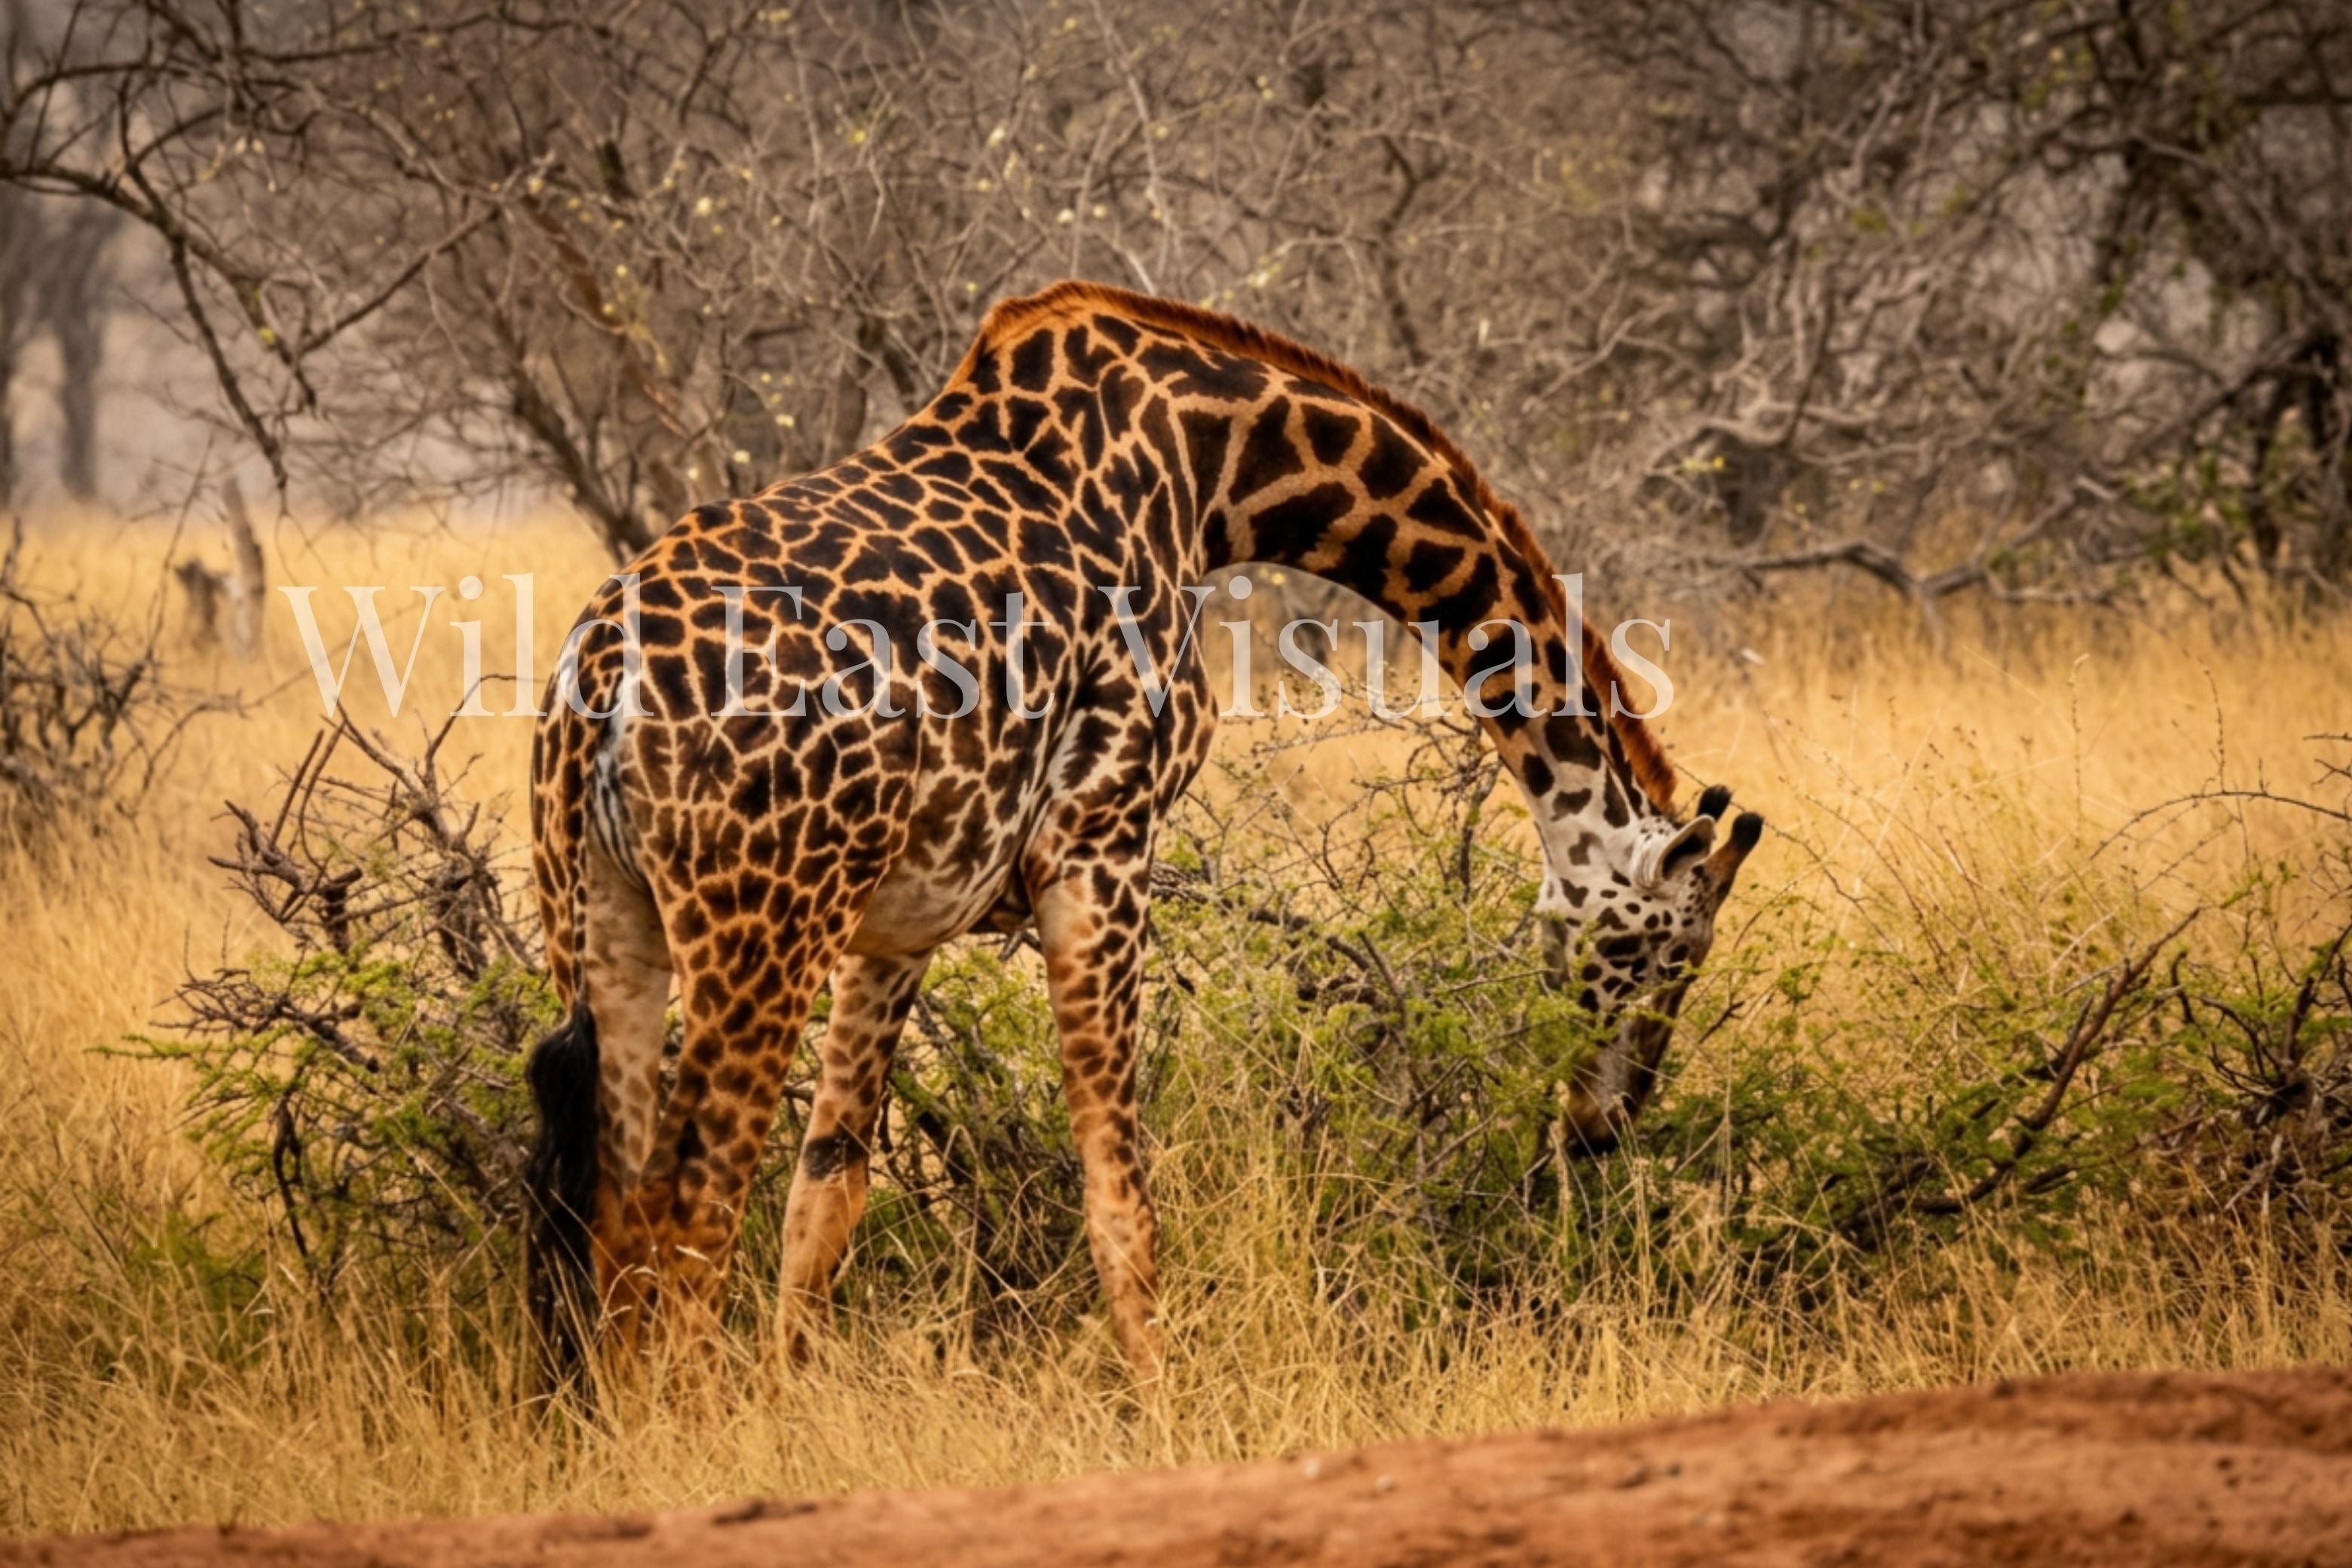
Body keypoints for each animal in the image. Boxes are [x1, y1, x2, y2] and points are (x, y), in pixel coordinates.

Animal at [524, 280, 1765, 1380]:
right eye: (1661, 955)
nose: (1603, 1124)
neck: (1214, 469)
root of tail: (604, 685)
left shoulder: (903, 917)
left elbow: (826, 1192)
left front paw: (796, 1406)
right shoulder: (1101, 842)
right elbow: (1122, 1195)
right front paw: (1166, 1405)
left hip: (609, 927)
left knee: (621, 1210)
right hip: (761, 930)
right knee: (685, 1210)